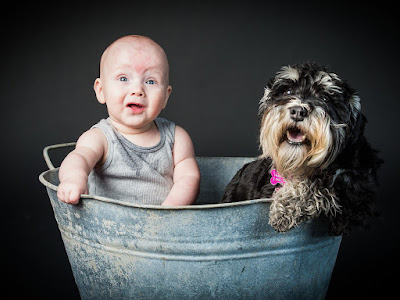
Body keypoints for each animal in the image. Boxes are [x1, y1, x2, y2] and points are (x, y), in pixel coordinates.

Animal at [222, 62, 382, 236]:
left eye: (325, 98)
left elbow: (319, 183)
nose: (298, 111)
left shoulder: (357, 188)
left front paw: (285, 207)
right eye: (288, 91)